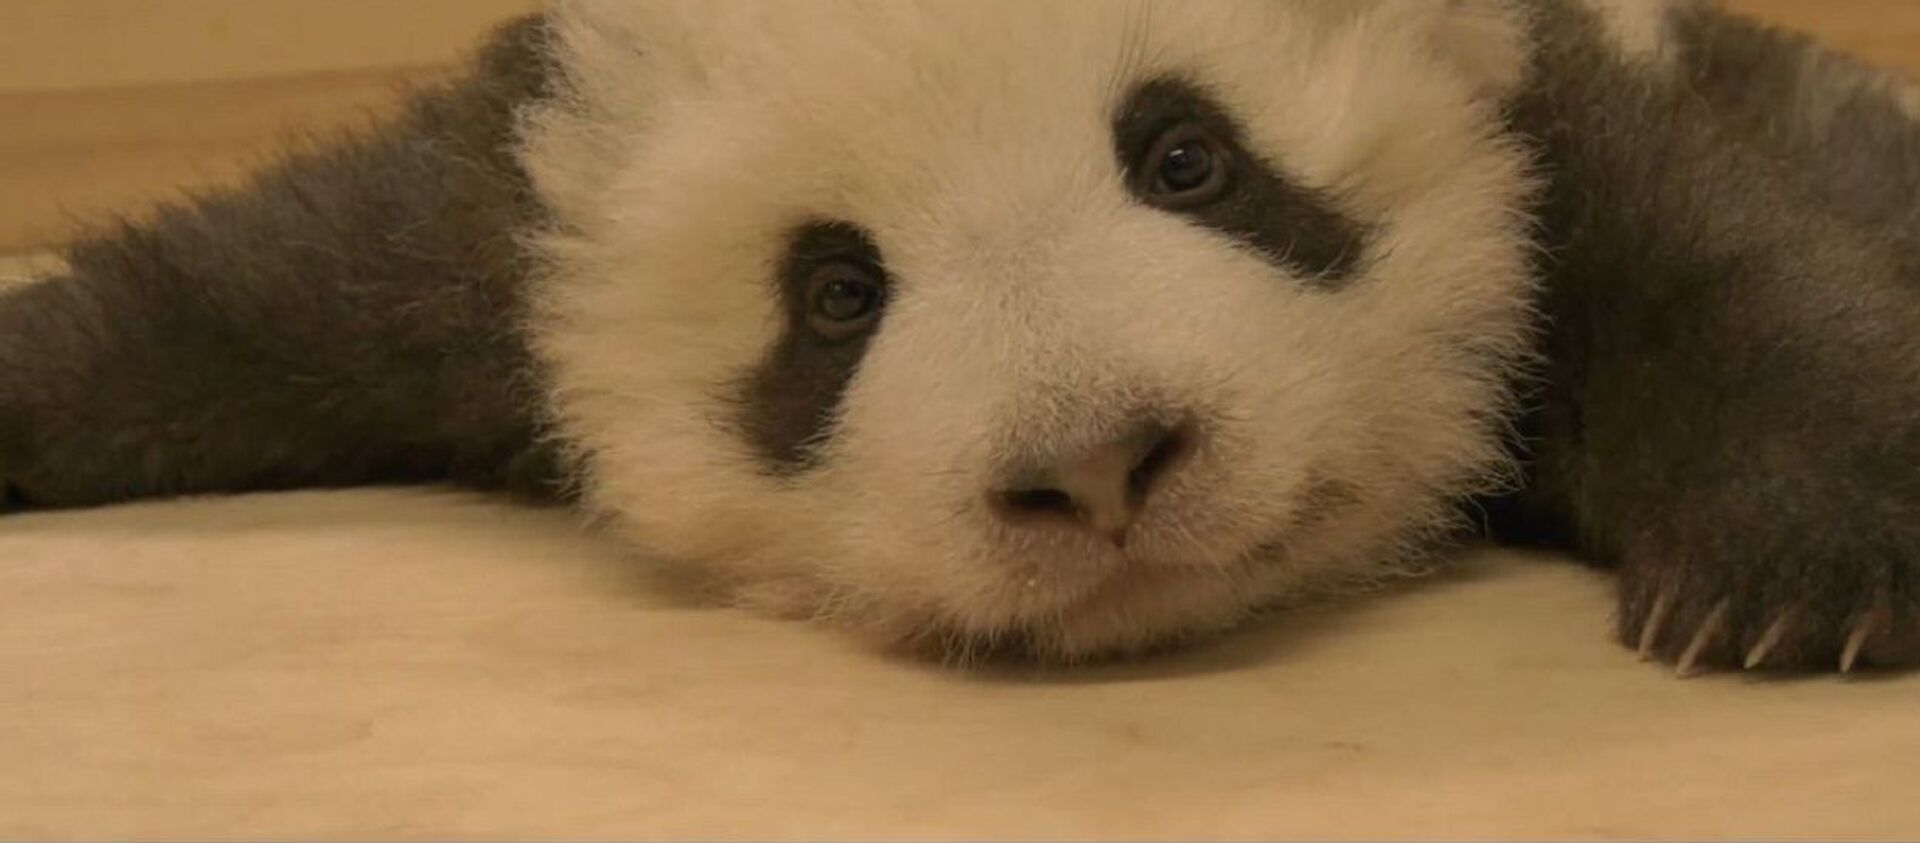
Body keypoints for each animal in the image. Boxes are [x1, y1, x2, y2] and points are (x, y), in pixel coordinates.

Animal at [2, 0, 1915, 674]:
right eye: (836, 294)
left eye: (1187, 156)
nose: (1103, 465)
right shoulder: (497, 224)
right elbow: (252, 293)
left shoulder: (1541, 121)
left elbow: (1721, 265)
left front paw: (1786, 577)